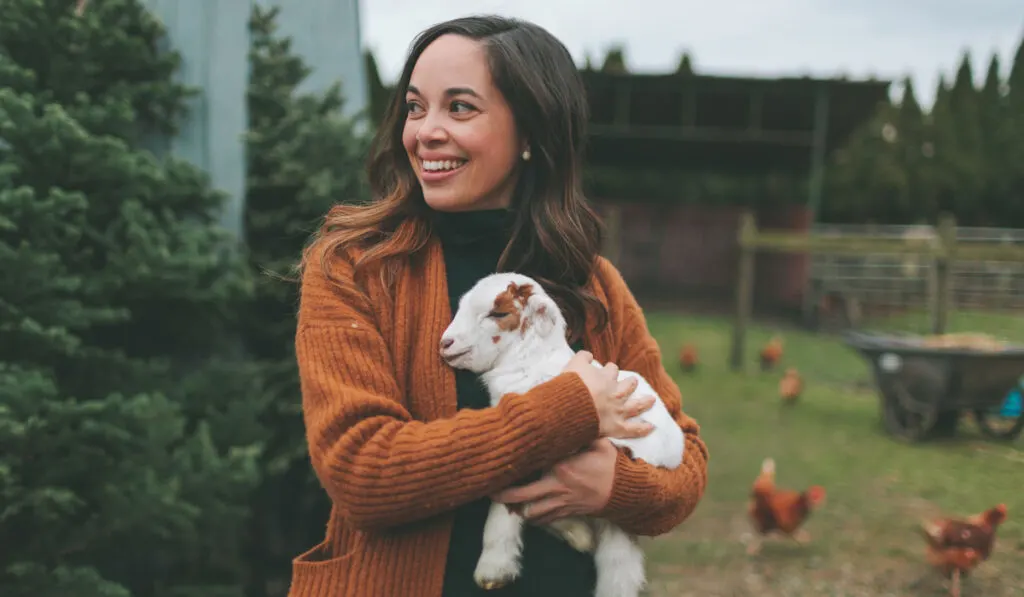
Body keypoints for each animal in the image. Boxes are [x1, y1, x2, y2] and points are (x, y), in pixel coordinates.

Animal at [438, 272, 684, 597]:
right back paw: (580, 536)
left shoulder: (529, 453)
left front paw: (492, 571)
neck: (528, 361)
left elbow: (504, 508)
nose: (446, 343)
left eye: (498, 314)